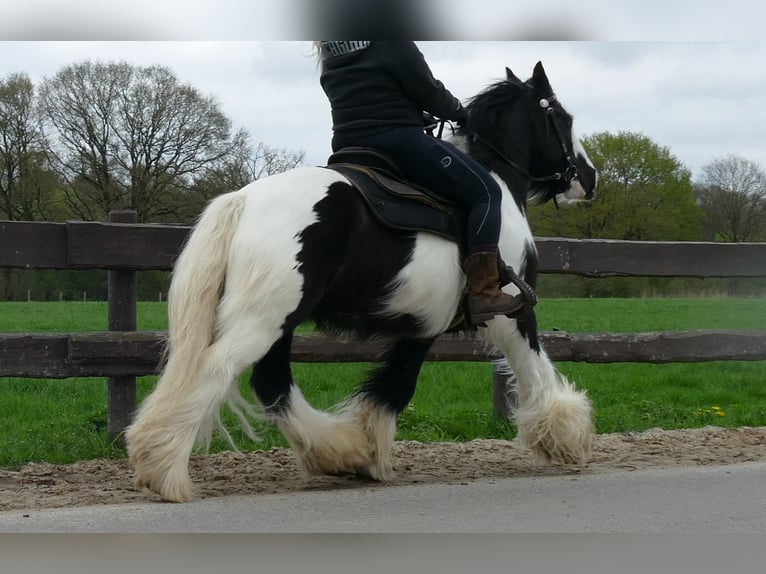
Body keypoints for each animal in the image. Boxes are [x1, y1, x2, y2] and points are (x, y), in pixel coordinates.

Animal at [127, 60, 600, 502]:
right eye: (562, 116)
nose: (589, 178)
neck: (497, 184)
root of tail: (242, 200)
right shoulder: (510, 314)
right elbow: (532, 368)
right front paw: (566, 438)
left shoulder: (423, 326)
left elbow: (392, 387)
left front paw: (365, 452)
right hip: (262, 320)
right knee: (217, 370)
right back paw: (165, 470)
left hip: (279, 321)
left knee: (272, 381)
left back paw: (334, 450)